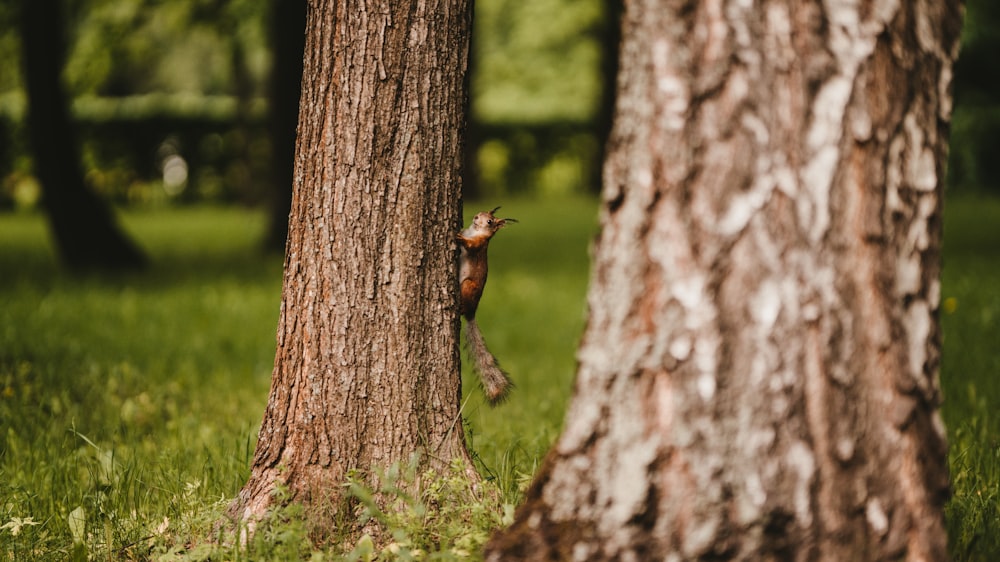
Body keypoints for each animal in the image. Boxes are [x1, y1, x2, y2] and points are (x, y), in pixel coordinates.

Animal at [458, 206, 520, 402]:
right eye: (480, 212)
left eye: (490, 221)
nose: (476, 217)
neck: (474, 231)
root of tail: (472, 312)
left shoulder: (479, 245)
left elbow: (470, 246)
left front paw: (458, 237)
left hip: (467, 286)